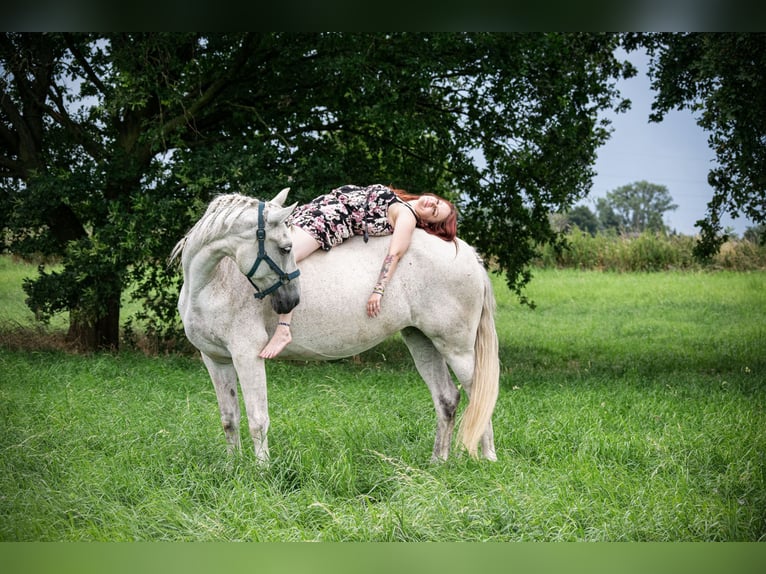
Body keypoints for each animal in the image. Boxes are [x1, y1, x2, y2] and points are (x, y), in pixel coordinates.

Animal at [171, 189, 500, 464]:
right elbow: (229, 418)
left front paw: (262, 472)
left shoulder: (247, 356)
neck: (213, 282)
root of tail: (469, 254)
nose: (292, 301)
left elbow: (257, 418)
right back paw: (437, 463)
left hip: (456, 348)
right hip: (421, 340)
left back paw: (487, 460)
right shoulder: (215, 360)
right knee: (447, 399)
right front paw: (233, 467)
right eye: (285, 247)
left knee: (479, 395)